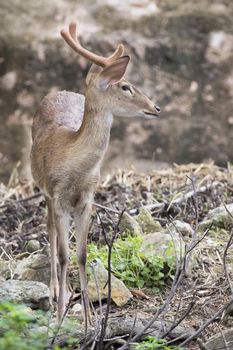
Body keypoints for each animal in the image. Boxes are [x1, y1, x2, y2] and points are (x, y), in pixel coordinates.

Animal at [30, 21, 160, 322]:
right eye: (126, 86)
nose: (156, 107)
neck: (73, 168)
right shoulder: (57, 196)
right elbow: (64, 255)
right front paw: (59, 316)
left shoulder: (88, 199)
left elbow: (82, 254)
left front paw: (90, 317)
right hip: (43, 191)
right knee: (50, 231)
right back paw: (55, 290)